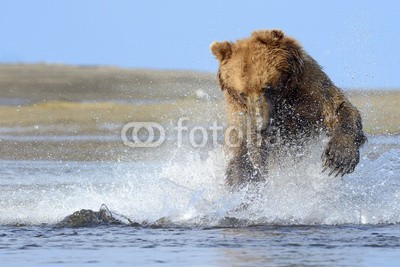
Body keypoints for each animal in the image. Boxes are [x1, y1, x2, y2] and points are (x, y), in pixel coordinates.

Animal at [211, 29, 368, 188]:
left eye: (266, 88)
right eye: (242, 93)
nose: (261, 126)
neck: (284, 100)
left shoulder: (310, 89)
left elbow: (337, 109)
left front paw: (339, 158)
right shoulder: (241, 115)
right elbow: (246, 150)